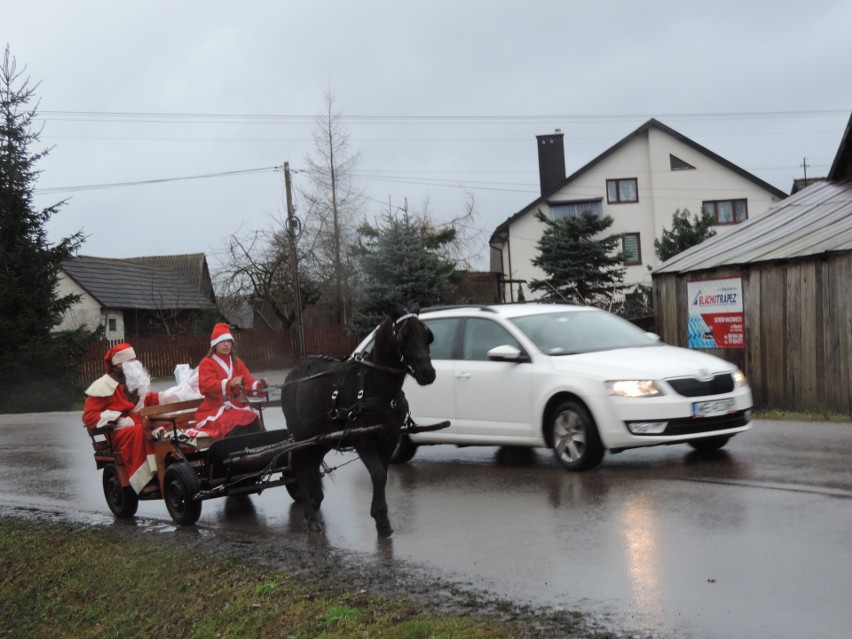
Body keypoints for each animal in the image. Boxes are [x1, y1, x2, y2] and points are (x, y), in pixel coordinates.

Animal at [282, 308, 436, 536]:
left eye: (427, 335)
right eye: (403, 337)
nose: (428, 373)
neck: (376, 385)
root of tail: (292, 374)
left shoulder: (389, 437)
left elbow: (383, 474)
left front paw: (381, 517)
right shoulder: (362, 439)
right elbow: (378, 474)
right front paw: (381, 519)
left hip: (322, 439)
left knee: (313, 464)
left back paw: (316, 500)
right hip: (300, 436)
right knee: (301, 466)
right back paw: (311, 517)